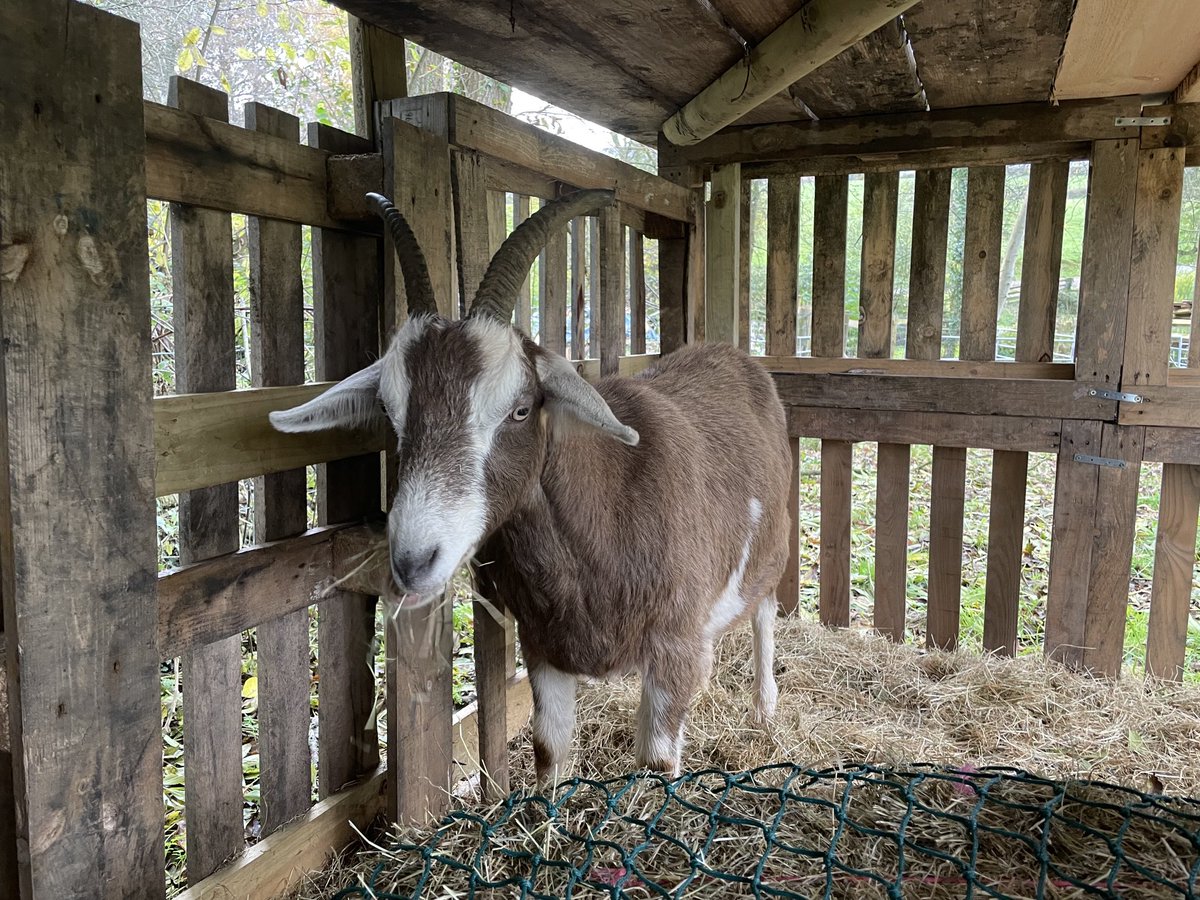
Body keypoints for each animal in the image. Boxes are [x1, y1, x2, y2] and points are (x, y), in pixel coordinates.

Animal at [270, 190, 792, 784]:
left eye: (520, 410)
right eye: (390, 413)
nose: (413, 561)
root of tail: (735, 355)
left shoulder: (675, 647)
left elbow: (657, 763)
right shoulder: (542, 646)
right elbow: (550, 749)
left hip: (774, 548)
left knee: (766, 615)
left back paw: (764, 712)